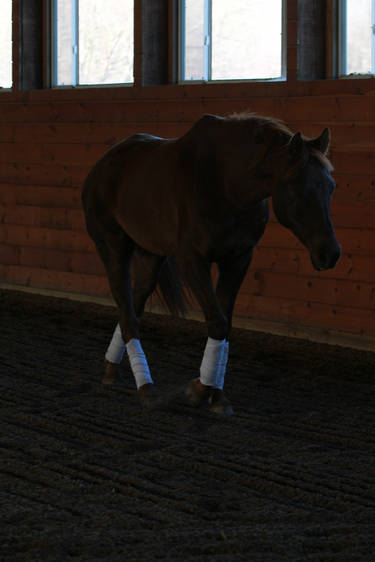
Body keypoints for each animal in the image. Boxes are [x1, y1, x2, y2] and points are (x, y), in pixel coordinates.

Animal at [82, 112, 340, 412]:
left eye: (331, 187)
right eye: (298, 189)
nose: (330, 253)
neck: (227, 184)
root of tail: (103, 165)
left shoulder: (239, 259)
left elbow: (225, 324)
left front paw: (215, 394)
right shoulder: (193, 261)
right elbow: (217, 322)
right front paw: (200, 389)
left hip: (150, 257)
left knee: (132, 310)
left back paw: (112, 369)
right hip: (114, 249)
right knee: (128, 315)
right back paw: (146, 388)